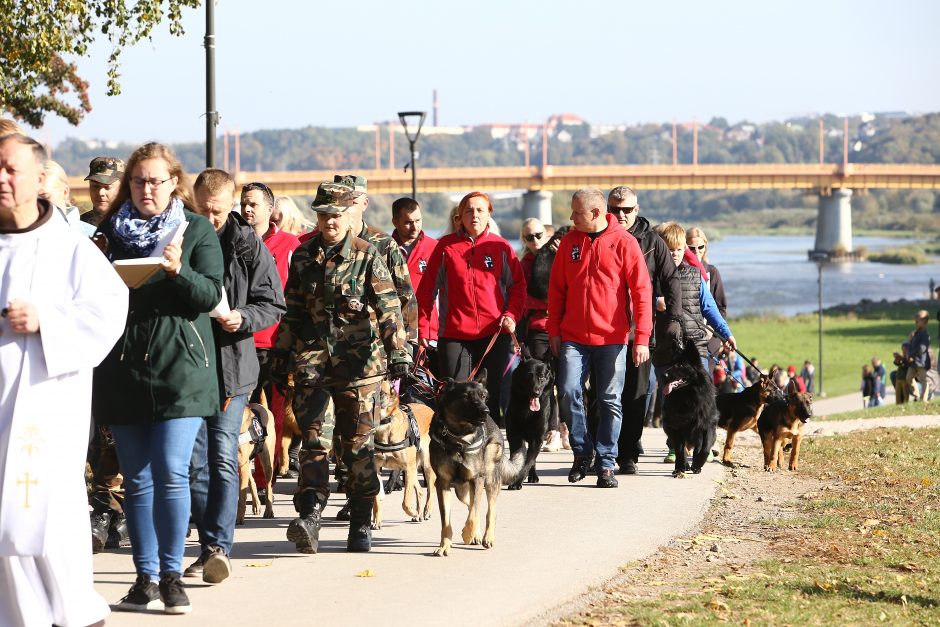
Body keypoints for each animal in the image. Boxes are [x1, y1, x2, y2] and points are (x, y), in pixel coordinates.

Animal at [370, 392, 436, 528]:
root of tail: (430, 409)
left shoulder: (408, 468)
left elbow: (405, 502)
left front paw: (412, 511)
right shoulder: (376, 469)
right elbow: (377, 500)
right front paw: (377, 520)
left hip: (424, 464)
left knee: (431, 487)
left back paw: (426, 510)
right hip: (412, 469)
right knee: (420, 491)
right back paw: (418, 513)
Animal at [430, 370, 524, 556]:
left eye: (483, 396)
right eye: (466, 396)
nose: (486, 410)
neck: (458, 439)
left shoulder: (477, 479)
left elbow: (474, 514)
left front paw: (467, 533)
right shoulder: (443, 484)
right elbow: (447, 521)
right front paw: (445, 545)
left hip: (489, 479)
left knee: (488, 510)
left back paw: (487, 536)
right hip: (461, 490)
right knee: (472, 504)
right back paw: (477, 535)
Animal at [506, 348, 560, 490]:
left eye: (542, 377)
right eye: (528, 376)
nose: (535, 393)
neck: (528, 411)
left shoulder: (537, 438)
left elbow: (528, 462)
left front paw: (517, 481)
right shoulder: (515, 435)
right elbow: (520, 458)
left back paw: (533, 476)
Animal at [660, 340, 720, 478]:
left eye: (681, 364)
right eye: (671, 364)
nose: (663, 375)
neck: (689, 397)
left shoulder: (707, 426)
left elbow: (704, 448)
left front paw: (697, 464)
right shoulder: (678, 427)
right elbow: (680, 450)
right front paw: (679, 468)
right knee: (681, 448)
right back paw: (685, 465)